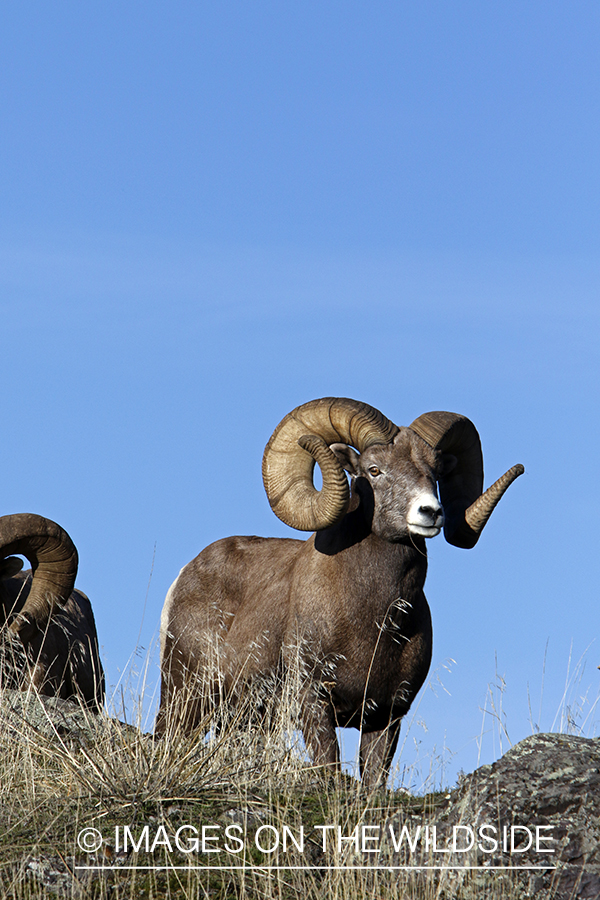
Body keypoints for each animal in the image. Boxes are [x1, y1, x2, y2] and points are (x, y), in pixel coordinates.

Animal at [157, 398, 524, 784]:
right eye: (374, 470)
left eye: (435, 472)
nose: (430, 512)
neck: (376, 621)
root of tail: (185, 575)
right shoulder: (314, 703)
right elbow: (329, 767)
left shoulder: (386, 716)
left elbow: (374, 780)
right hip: (185, 699)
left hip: (244, 720)